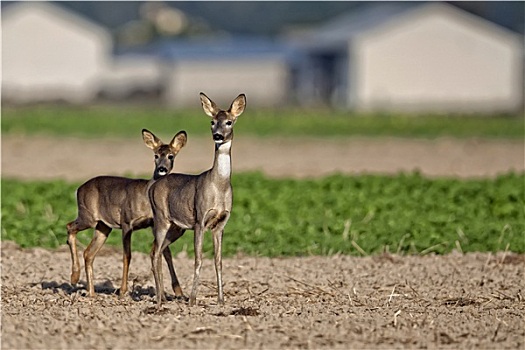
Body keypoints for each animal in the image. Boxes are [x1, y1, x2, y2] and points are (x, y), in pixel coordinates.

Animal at [66, 129, 187, 298]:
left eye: (171, 156)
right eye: (156, 155)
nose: (162, 169)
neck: (145, 195)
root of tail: (79, 189)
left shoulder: (153, 224)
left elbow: (166, 253)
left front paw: (177, 291)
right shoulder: (126, 222)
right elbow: (127, 255)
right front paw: (123, 290)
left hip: (103, 227)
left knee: (88, 253)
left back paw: (91, 293)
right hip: (87, 216)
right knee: (70, 226)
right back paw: (74, 277)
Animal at [147, 93, 246, 308]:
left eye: (229, 121)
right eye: (212, 121)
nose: (218, 135)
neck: (219, 186)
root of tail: (153, 186)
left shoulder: (221, 223)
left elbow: (218, 261)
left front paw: (221, 300)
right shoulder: (200, 220)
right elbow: (198, 259)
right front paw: (193, 300)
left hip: (176, 227)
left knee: (155, 250)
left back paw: (163, 296)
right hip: (161, 218)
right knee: (155, 252)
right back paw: (159, 300)